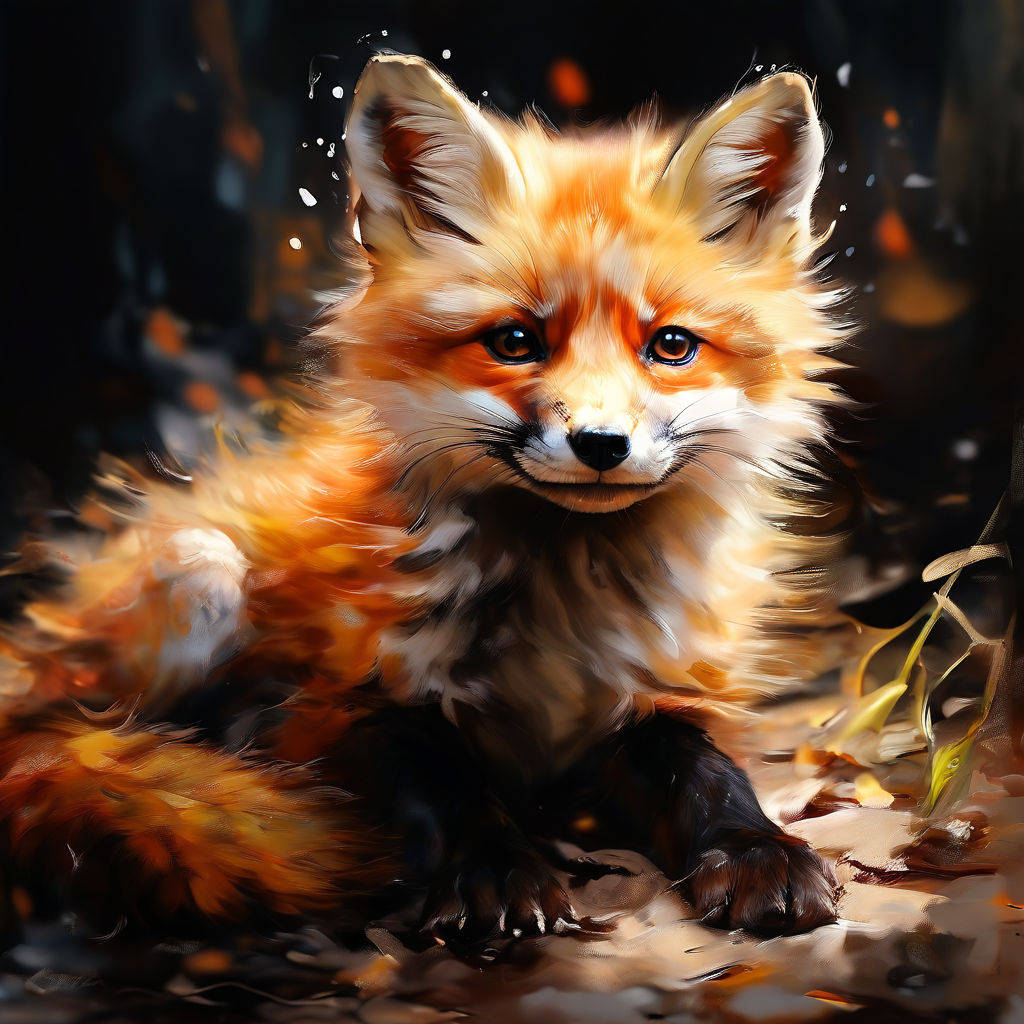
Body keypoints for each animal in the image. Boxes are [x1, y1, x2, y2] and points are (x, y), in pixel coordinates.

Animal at [0, 54, 846, 949]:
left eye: (672, 345)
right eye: (515, 342)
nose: (600, 445)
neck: (560, 614)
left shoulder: (658, 697)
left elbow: (704, 767)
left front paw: (756, 850)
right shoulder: (338, 705)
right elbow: (446, 783)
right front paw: (496, 872)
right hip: (196, 574)